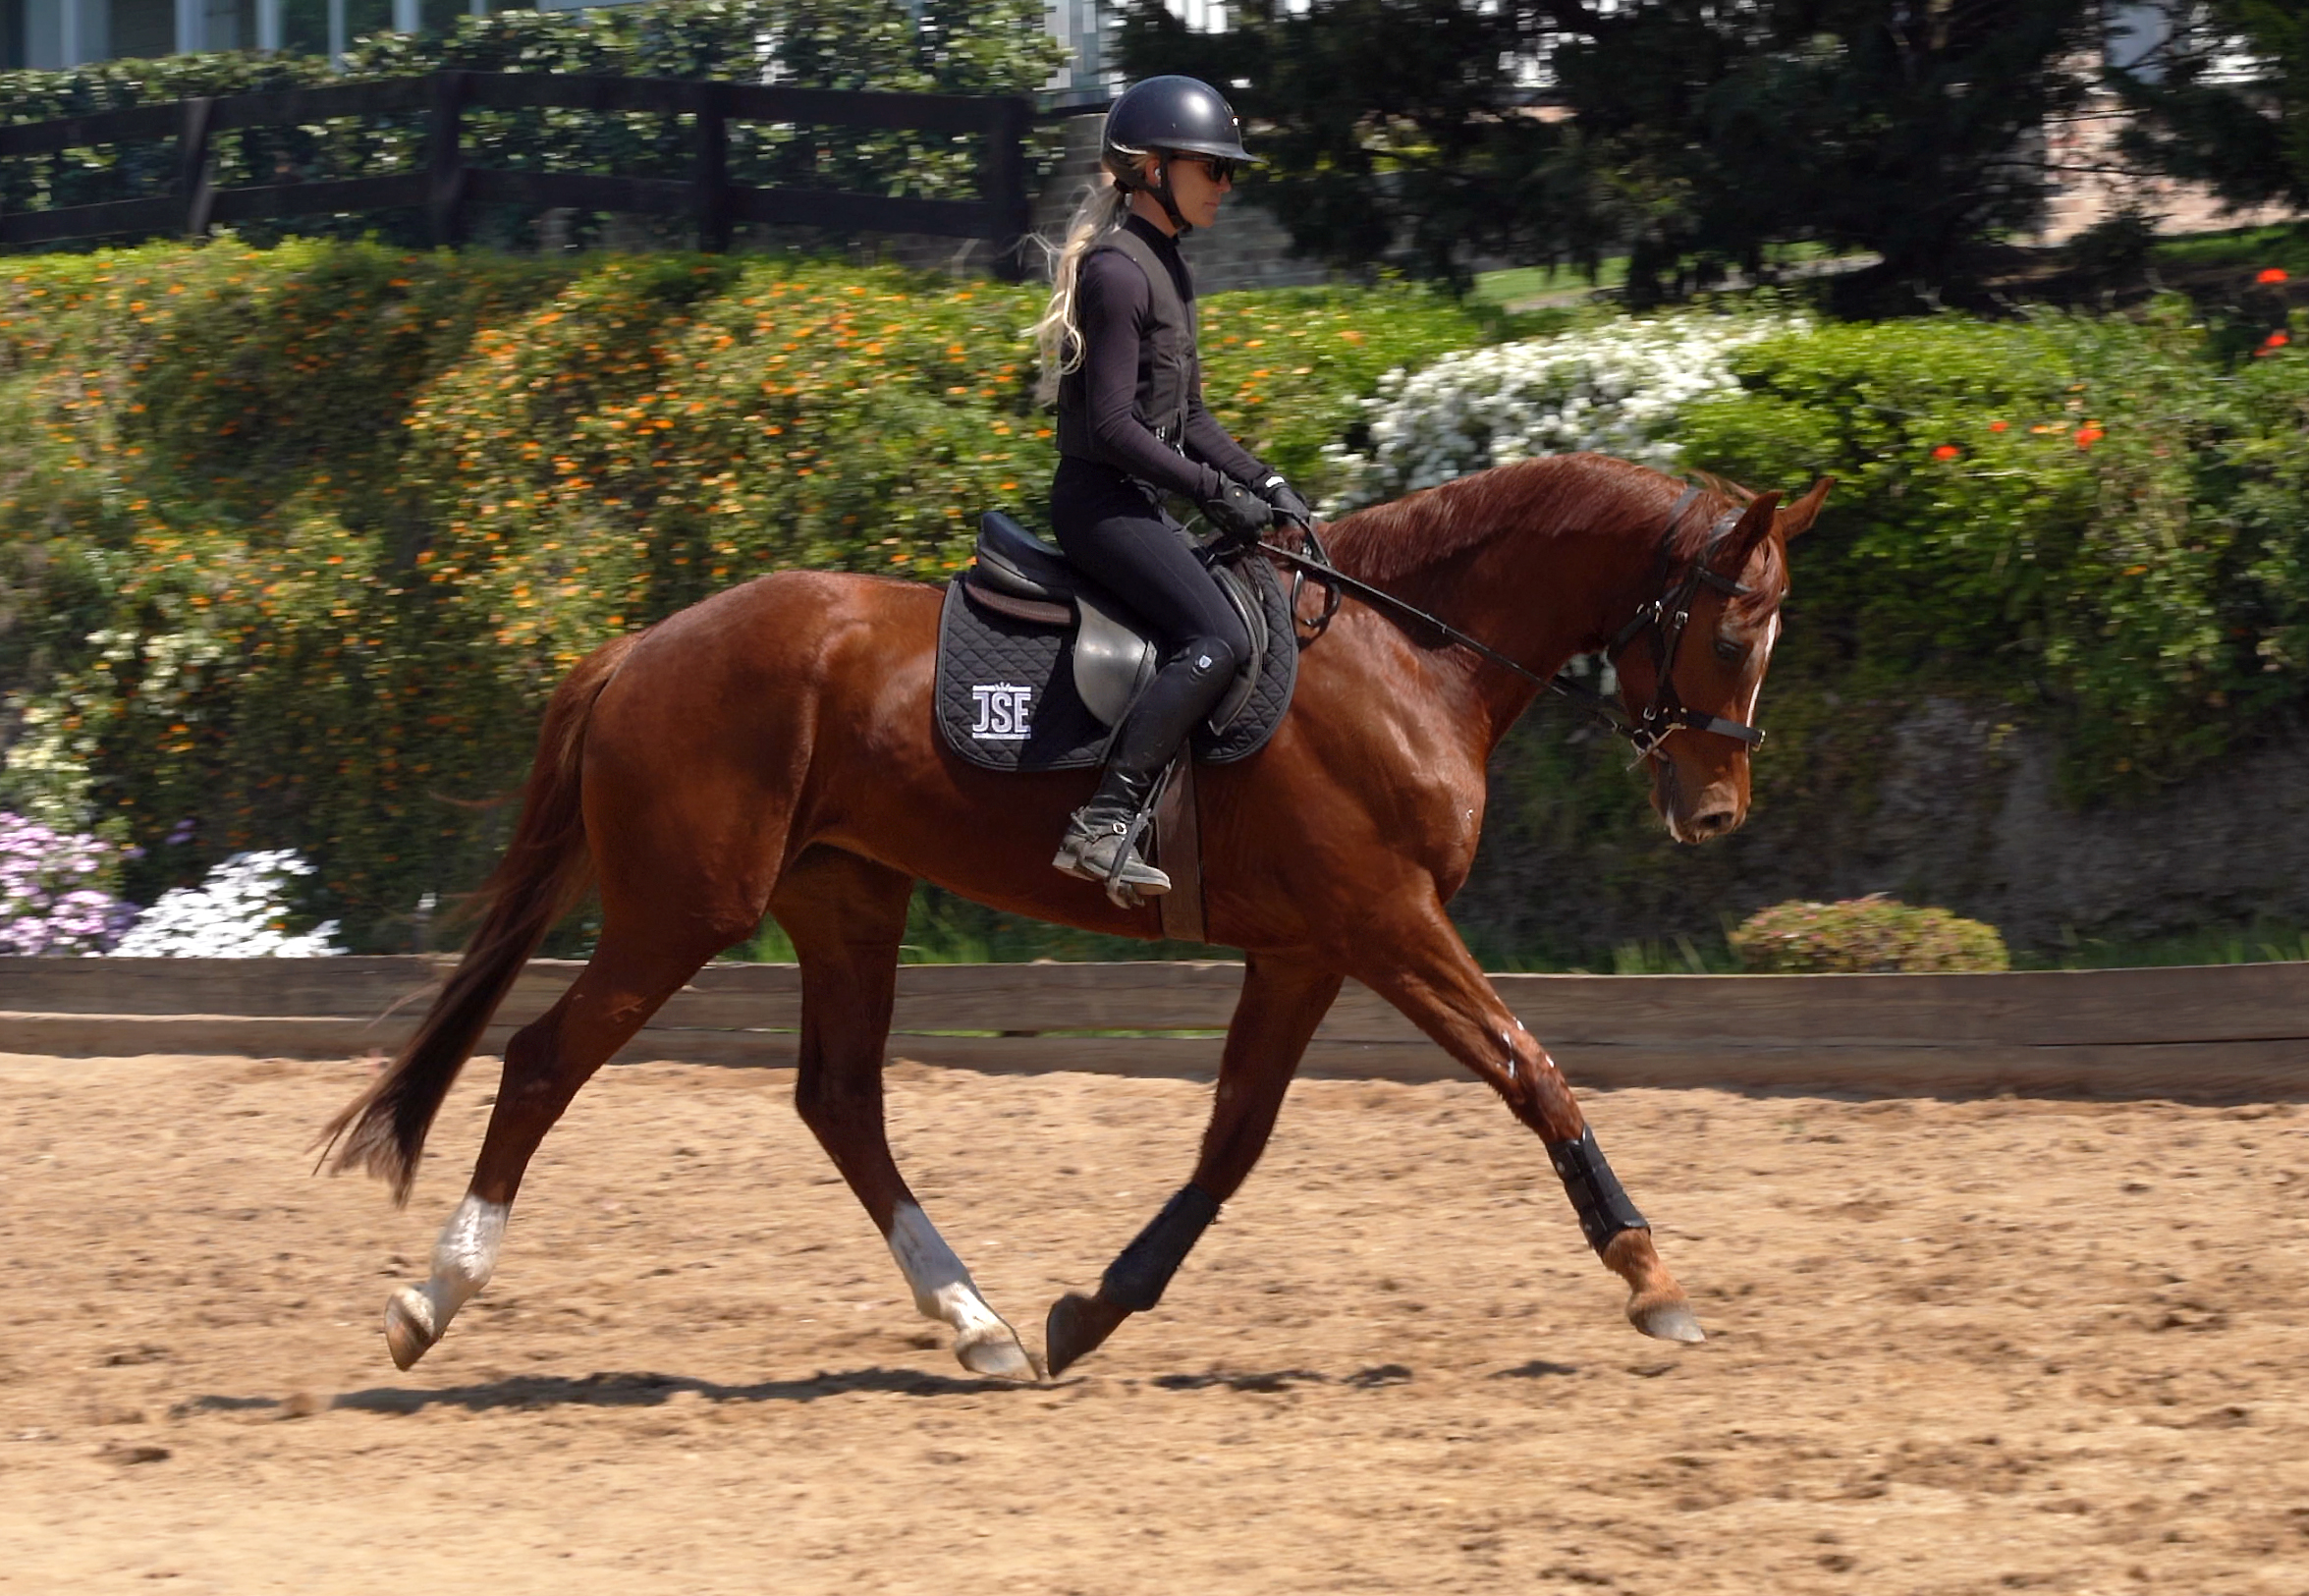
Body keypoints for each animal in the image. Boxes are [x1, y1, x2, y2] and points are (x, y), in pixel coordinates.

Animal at [321, 451, 1830, 1381]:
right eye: (1731, 631)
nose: (1712, 812)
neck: (1409, 652)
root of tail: (641, 646)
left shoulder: (1305, 948)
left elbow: (1232, 1142)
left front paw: (1091, 1309)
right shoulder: (1383, 920)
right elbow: (1531, 1068)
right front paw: (1649, 1276)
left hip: (845, 897)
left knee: (840, 1101)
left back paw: (978, 1321)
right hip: (682, 909)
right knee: (541, 1062)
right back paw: (429, 1299)